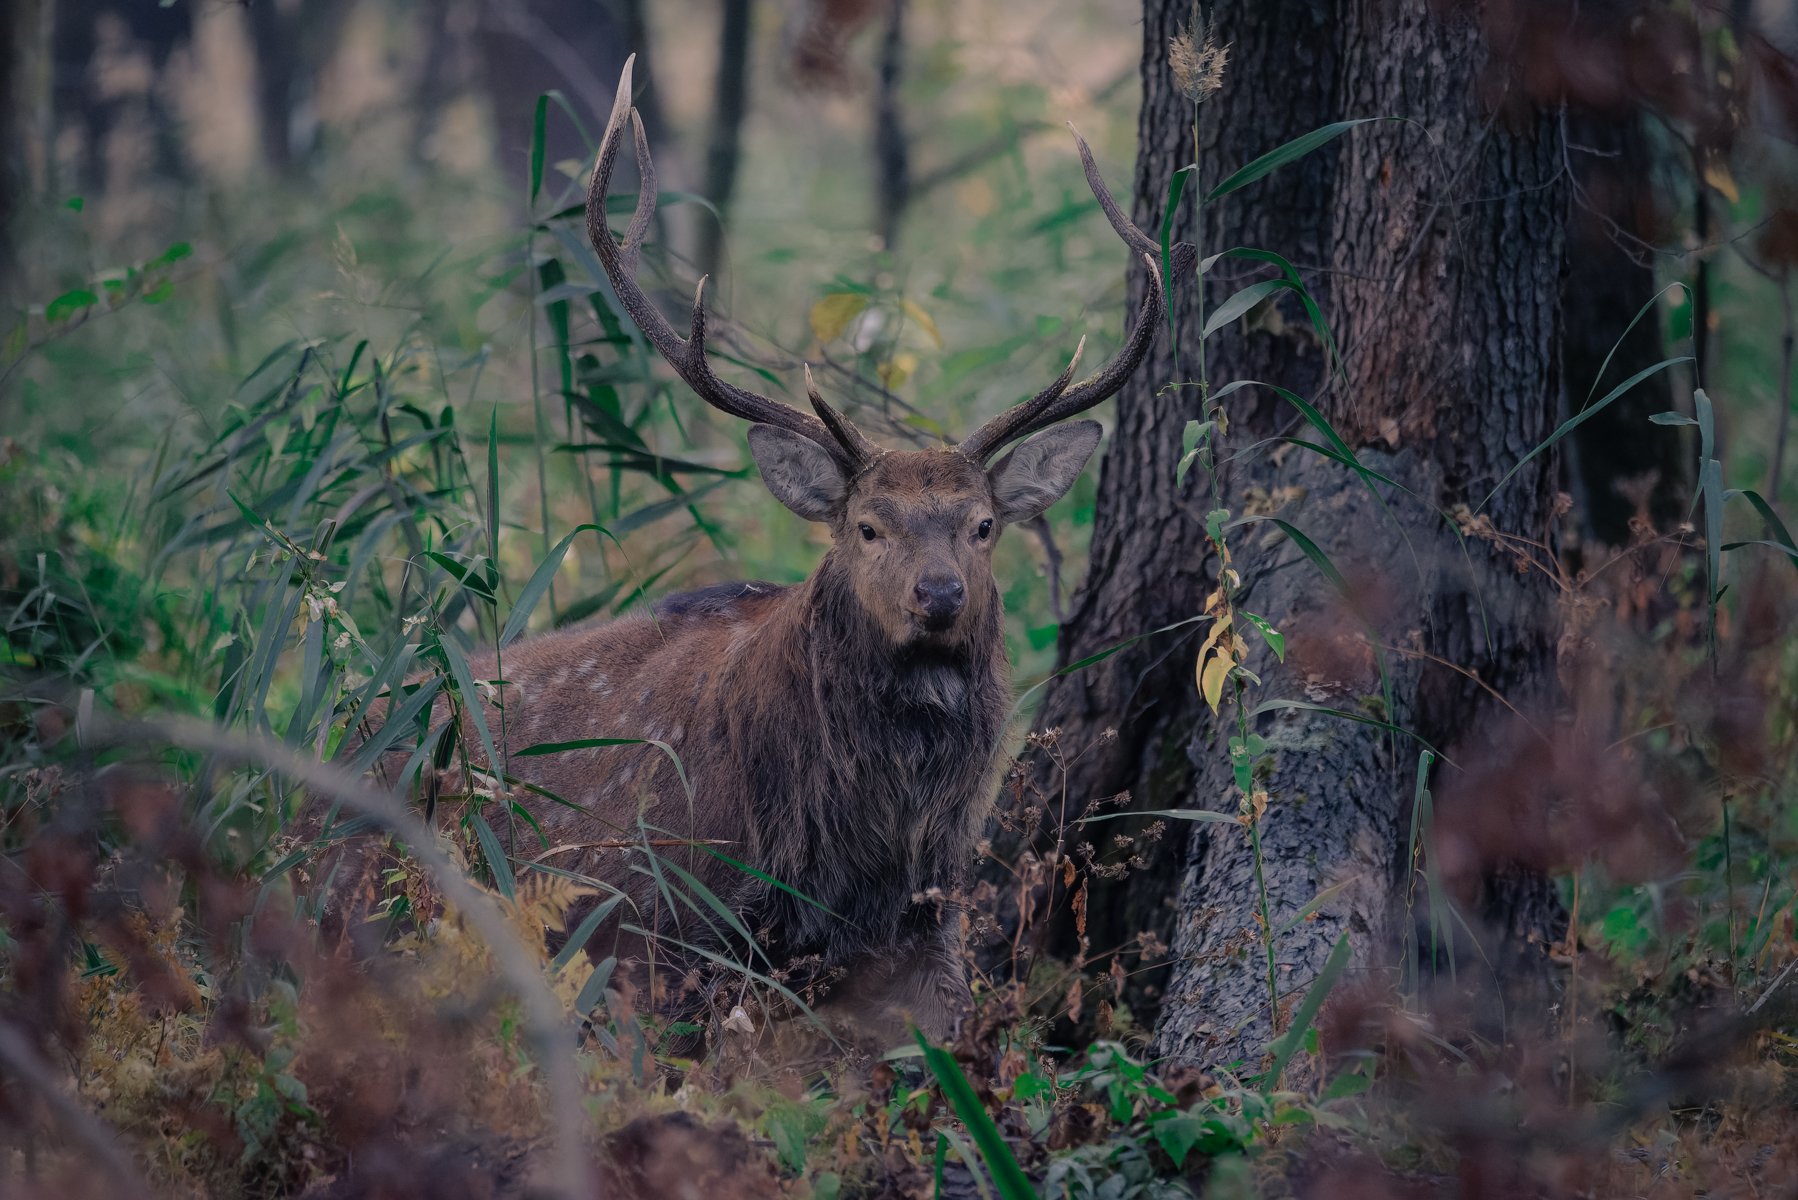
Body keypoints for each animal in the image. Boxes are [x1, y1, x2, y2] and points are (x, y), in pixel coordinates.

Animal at [339, 58, 1165, 1043]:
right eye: (866, 525)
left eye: (983, 525)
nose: (938, 597)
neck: (851, 852)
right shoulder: (663, 925)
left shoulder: (930, 926)